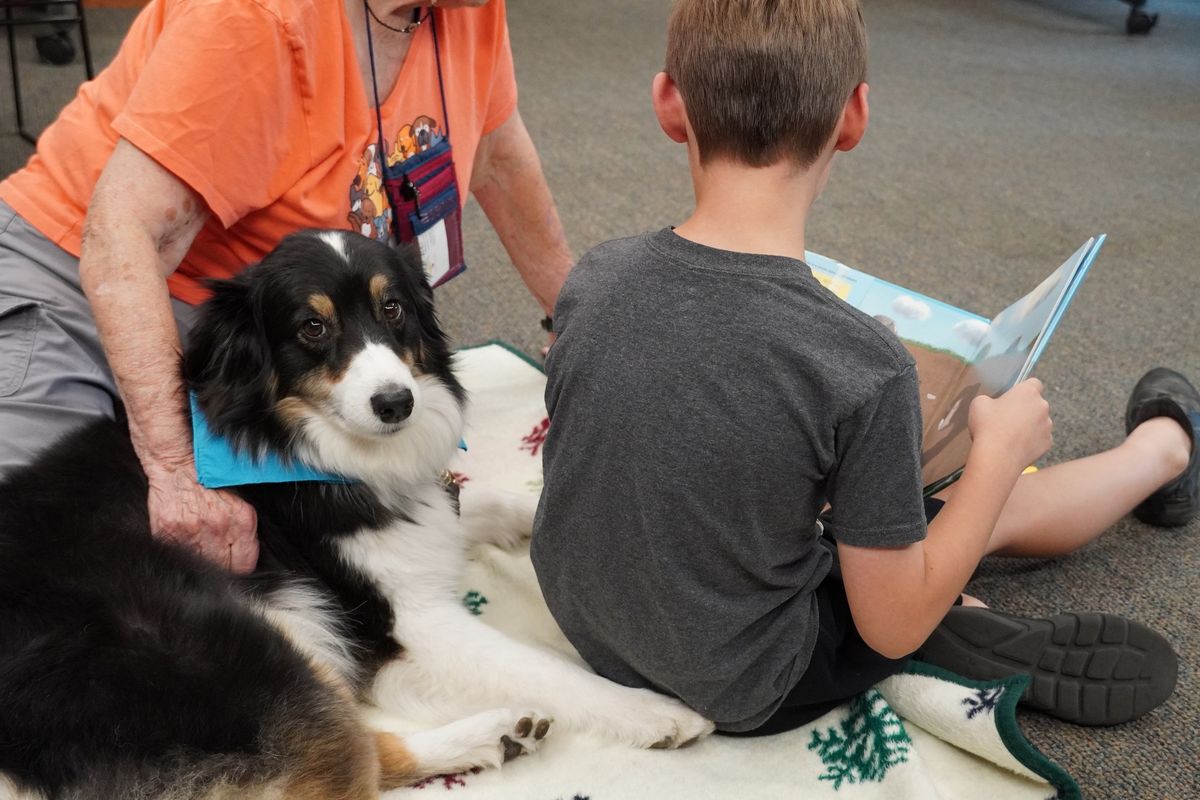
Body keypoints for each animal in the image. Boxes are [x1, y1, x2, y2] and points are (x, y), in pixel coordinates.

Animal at [0, 230, 710, 800]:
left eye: (391, 309)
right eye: (312, 327)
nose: (397, 403)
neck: (298, 446)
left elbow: (478, 504)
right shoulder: (409, 620)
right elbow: (543, 666)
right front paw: (657, 712)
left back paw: (499, 734)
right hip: (242, 656)